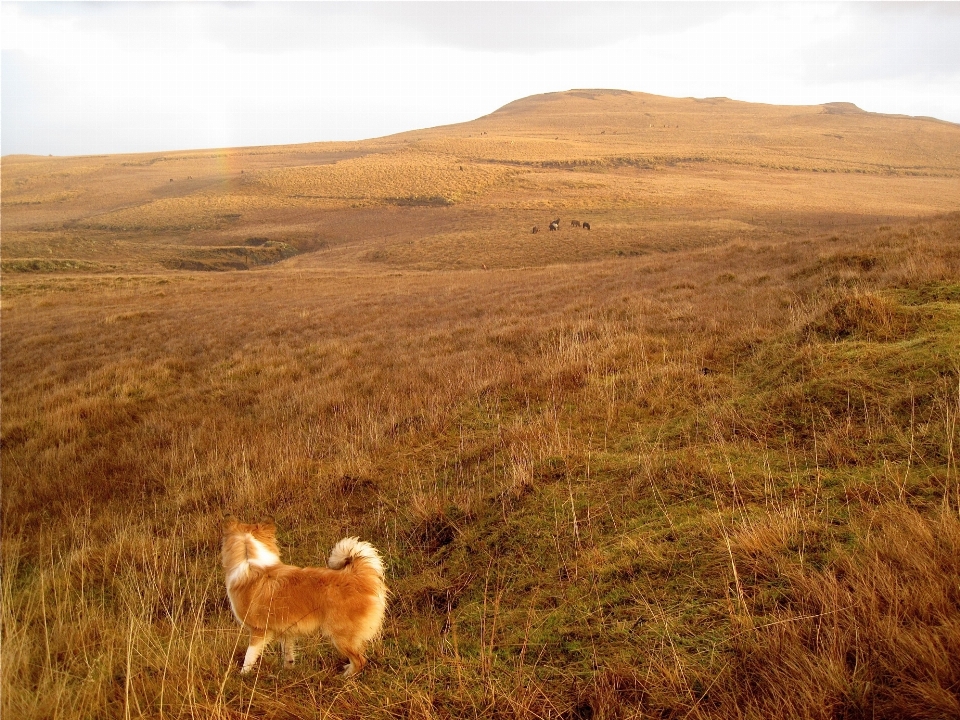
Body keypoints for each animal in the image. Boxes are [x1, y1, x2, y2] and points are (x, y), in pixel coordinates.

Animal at [223, 516, 388, 676]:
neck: (250, 563)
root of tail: (358, 576)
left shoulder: (258, 631)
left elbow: (249, 656)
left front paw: (243, 675)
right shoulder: (286, 630)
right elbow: (288, 653)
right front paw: (287, 671)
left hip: (340, 636)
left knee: (360, 660)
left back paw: (345, 677)